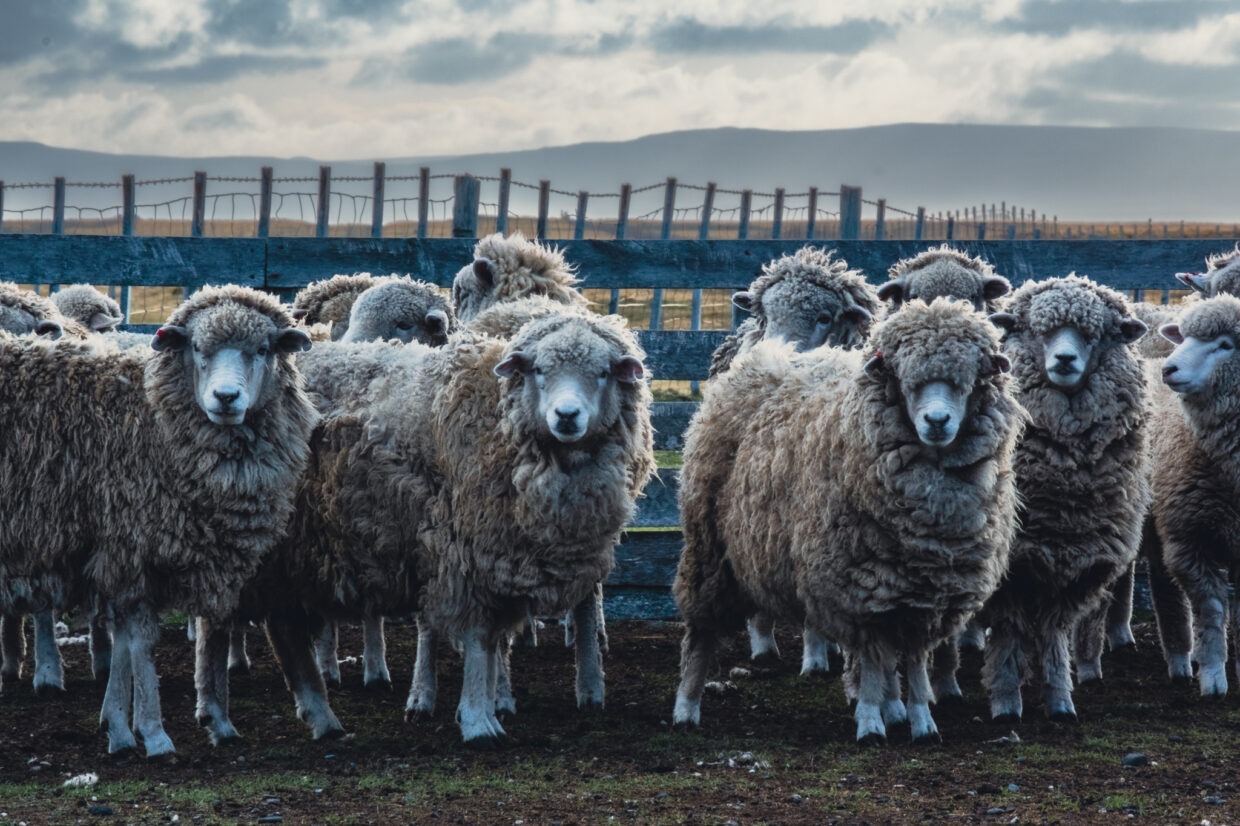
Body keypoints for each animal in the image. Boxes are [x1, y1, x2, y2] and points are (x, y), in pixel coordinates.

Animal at [0, 285, 317, 754]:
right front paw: (151, 732)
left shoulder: (128, 550)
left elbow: (126, 641)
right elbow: (141, 641)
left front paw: (117, 724)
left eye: (263, 349)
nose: (226, 398)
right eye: (198, 348)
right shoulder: (130, 542)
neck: (152, 418)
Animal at [674, 297, 1021, 739]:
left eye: (968, 381)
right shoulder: (859, 588)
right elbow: (873, 661)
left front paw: (920, 719)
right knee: (700, 633)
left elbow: (912, 661)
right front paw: (872, 721)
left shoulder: (924, 592)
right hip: (709, 547)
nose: (937, 422)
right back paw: (686, 707)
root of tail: (768, 357)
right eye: (903, 380)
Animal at [977, 272, 1150, 719]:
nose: (1066, 360)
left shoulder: (1077, 565)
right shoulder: (1011, 568)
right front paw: (1007, 700)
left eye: (1094, 335)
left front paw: (1059, 698)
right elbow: (1007, 634)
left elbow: (1054, 633)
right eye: (1039, 331)